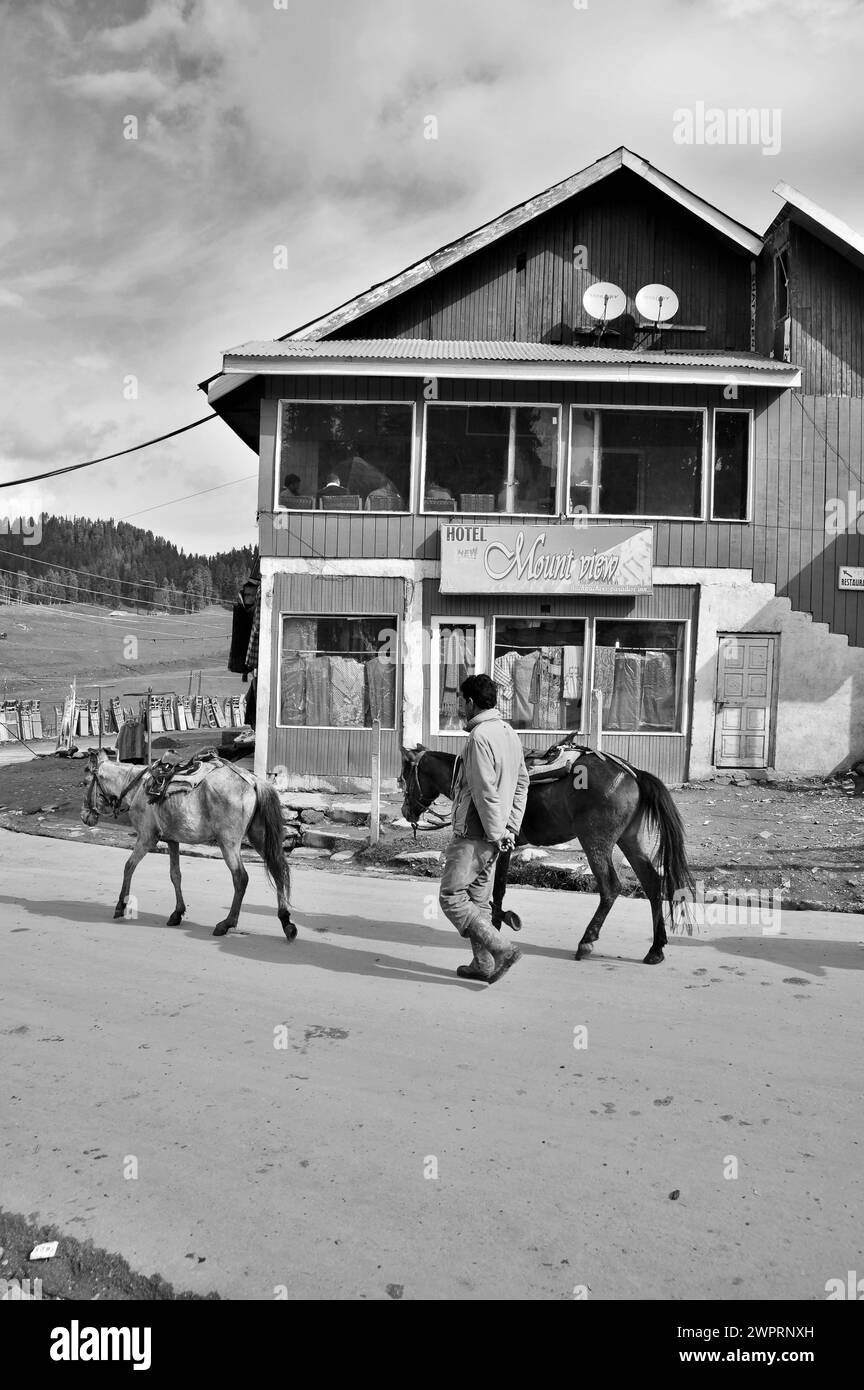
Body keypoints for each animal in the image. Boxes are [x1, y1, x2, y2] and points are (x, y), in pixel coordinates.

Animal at [82, 756, 297, 939]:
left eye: (85, 783)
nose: (85, 816)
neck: (138, 789)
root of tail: (253, 780)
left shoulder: (146, 838)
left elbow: (129, 867)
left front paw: (121, 905)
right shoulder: (172, 841)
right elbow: (175, 875)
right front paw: (177, 913)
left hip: (228, 843)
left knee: (241, 878)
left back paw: (227, 923)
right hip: (259, 838)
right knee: (277, 870)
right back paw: (286, 922)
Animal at [400, 745, 697, 961]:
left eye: (404, 778)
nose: (406, 811)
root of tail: (634, 773)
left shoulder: (502, 843)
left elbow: (498, 889)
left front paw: (496, 927)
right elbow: (493, 890)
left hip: (595, 841)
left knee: (611, 887)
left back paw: (586, 942)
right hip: (629, 839)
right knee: (652, 882)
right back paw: (656, 949)